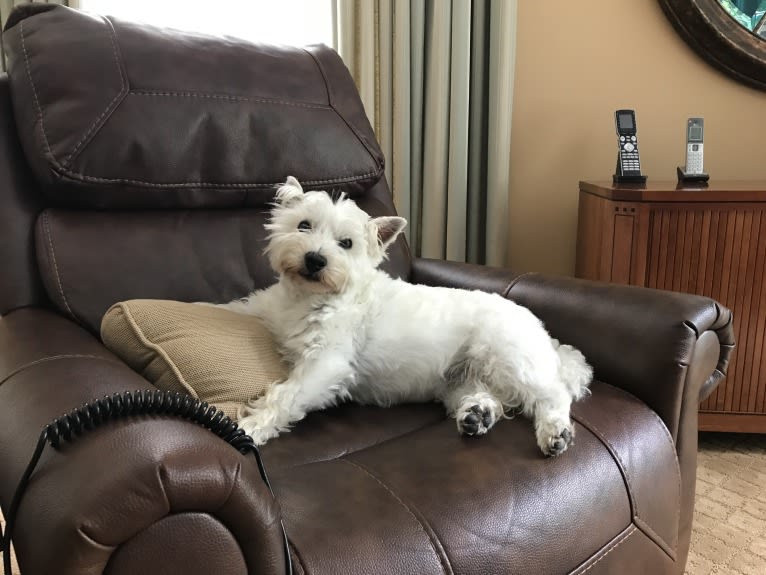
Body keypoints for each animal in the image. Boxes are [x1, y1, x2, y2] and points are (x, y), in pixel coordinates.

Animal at [214, 178, 592, 456]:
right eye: (303, 225)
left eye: (346, 243)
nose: (315, 260)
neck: (309, 299)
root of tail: (546, 337)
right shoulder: (264, 309)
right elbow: (236, 308)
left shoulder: (327, 363)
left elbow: (286, 394)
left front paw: (250, 426)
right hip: (460, 380)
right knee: (490, 398)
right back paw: (477, 416)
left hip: (508, 356)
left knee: (552, 394)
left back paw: (555, 432)